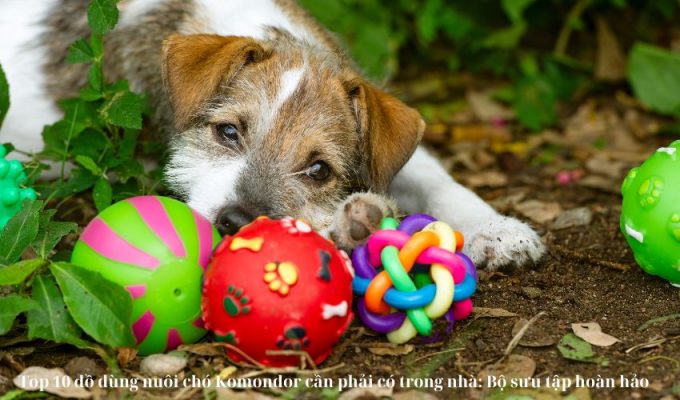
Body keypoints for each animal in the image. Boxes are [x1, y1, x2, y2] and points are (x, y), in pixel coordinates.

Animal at [0, 0, 540, 270]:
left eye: (319, 168)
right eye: (228, 132)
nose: (237, 222)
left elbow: (438, 179)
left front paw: (499, 229)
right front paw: (348, 225)